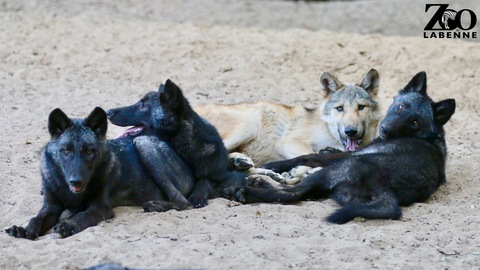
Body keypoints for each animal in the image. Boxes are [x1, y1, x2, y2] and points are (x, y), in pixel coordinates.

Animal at [7, 107, 195, 238]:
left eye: (89, 151)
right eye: (66, 150)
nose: (76, 181)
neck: (72, 194)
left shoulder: (101, 207)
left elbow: (83, 215)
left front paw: (68, 225)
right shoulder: (50, 206)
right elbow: (36, 218)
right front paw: (24, 230)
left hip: (143, 142)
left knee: (184, 202)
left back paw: (157, 204)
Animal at [223, 71, 456, 224]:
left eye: (415, 121)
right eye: (400, 107)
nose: (386, 129)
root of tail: (388, 192)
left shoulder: (339, 157)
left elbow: (304, 157)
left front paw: (276, 165)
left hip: (334, 170)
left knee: (291, 193)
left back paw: (249, 187)